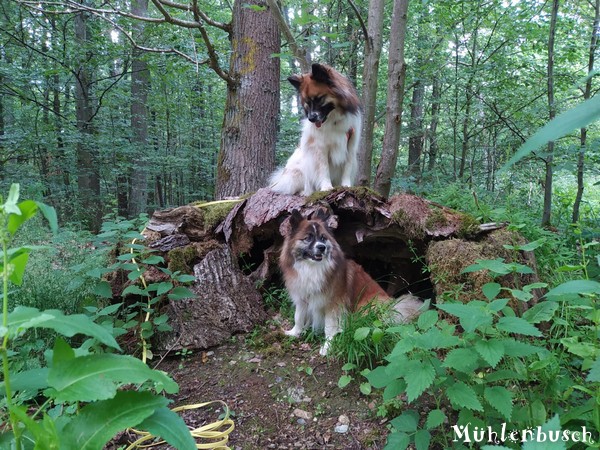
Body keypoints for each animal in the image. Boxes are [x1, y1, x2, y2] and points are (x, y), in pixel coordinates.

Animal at [270, 63, 364, 197]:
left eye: (319, 99)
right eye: (307, 103)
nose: (311, 118)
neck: (334, 121)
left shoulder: (350, 145)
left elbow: (347, 166)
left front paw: (346, 185)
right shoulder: (320, 147)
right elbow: (323, 168)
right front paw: (326, 187)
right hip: (299, 169)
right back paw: (305, 192)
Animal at [280, 208, 424, 356]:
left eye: (323, 238)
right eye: (308, 238)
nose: (322, 247)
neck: (312, 267)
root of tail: (392, 305)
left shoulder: (334, 303)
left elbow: (329, 327)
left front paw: (327, 347)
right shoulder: (302, 297)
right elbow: (298, 316)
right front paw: (294, 332)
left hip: (367, 307)